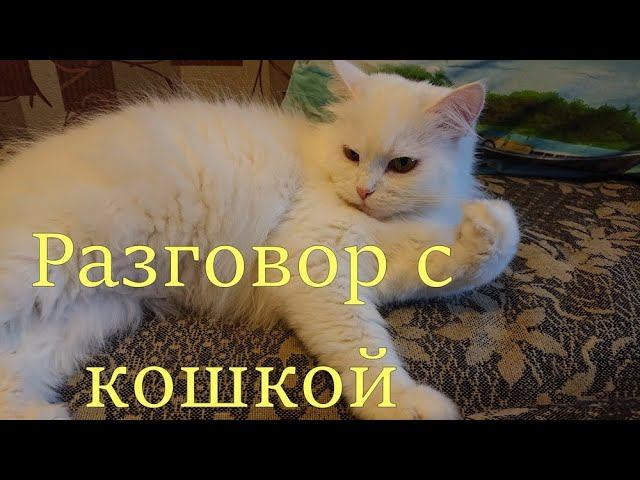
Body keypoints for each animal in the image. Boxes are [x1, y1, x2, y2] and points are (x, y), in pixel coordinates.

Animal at [0, 60, 519, 420]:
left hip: (76, 318)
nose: (364, 191)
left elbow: (476, 258)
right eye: (352, 155)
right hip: (34, 273)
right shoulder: (317, 267)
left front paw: (487, 218)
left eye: (403, 165)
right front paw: (404, 403)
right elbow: (363, 347)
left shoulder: (384, 268)